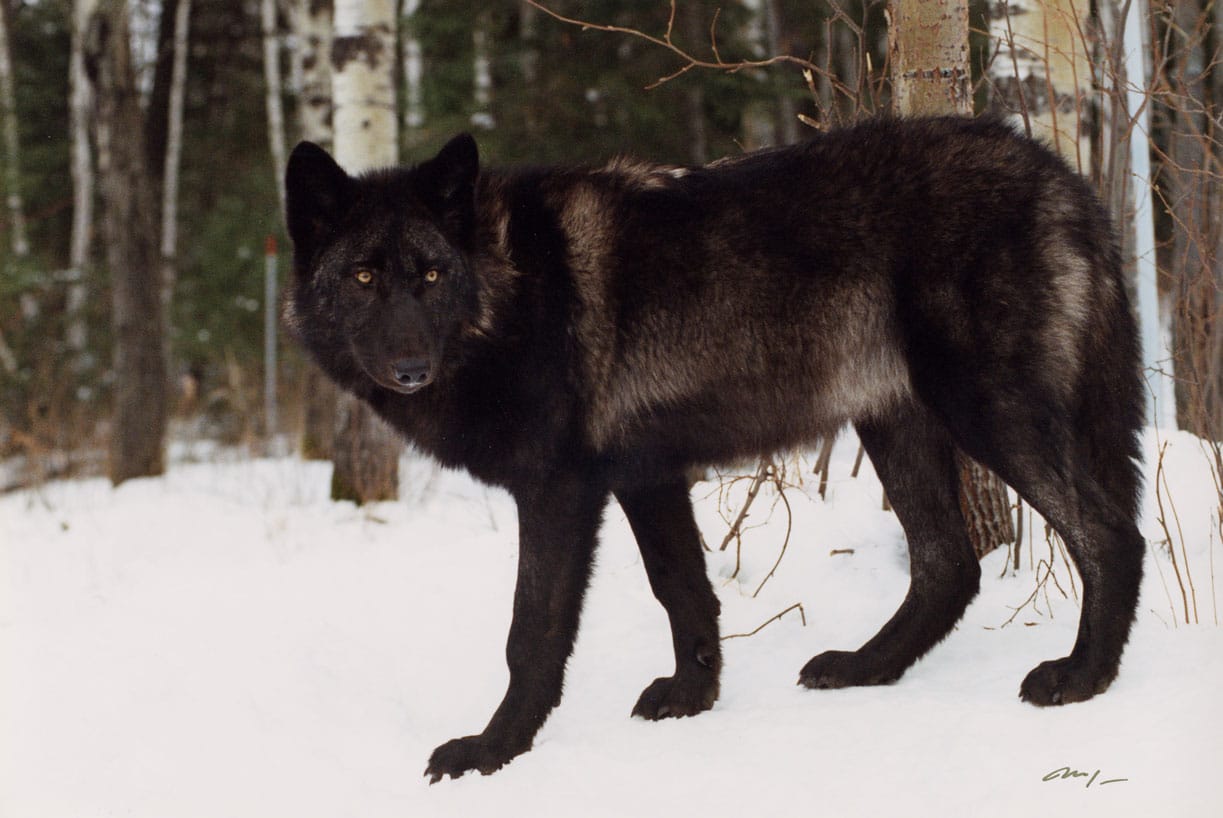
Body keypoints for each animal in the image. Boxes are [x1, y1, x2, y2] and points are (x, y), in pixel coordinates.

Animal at [286, 117, 1144, 782]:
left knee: (1109, 534)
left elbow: (530, 634)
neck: (509, 290)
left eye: (431, 275)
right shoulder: (647, 475)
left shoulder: (559, 490)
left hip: (985, 410)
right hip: (895, 423)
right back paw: (863, 668)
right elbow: (683, 591)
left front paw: (492, 752)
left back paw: (1082, 678)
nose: (409, 368)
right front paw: (690, 699)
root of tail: (1062, 176)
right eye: (363, 277)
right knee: (948, 565)